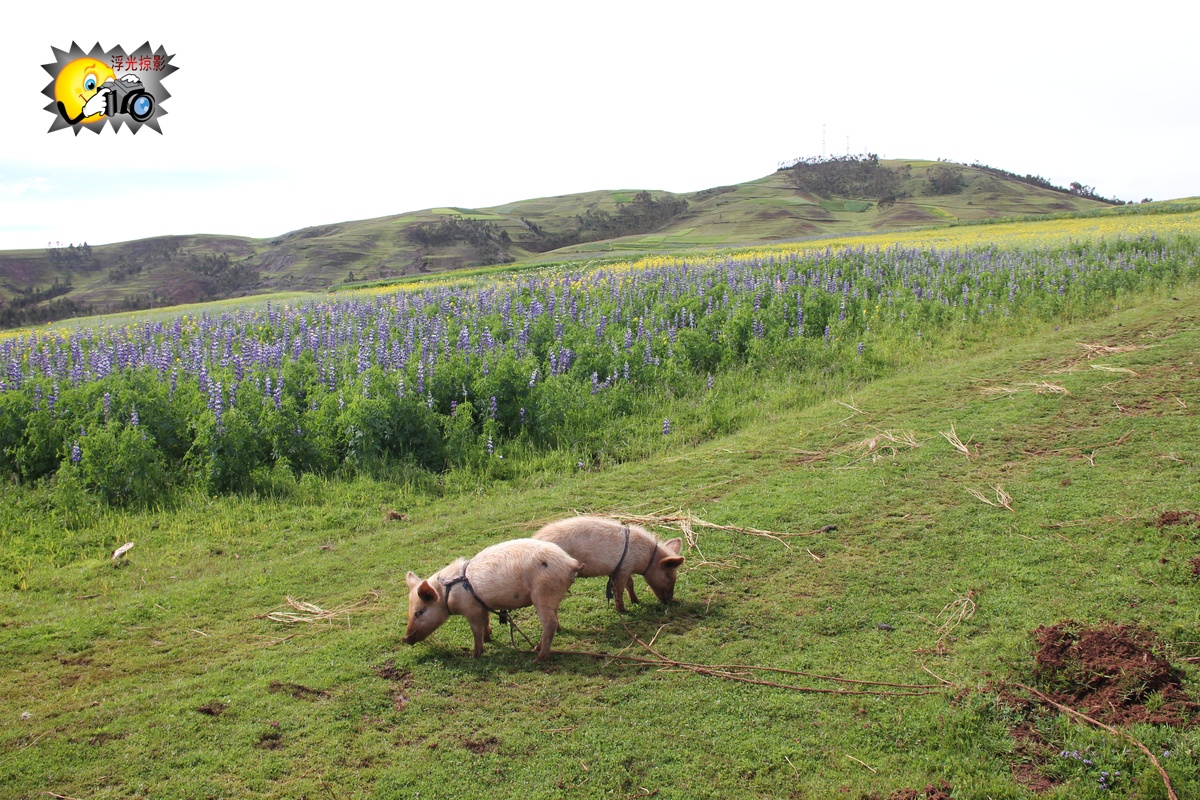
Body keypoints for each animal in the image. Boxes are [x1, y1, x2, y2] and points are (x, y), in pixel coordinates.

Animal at [400, 537, 583, 662]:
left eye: (419, 612)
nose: (405, 639)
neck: (448, 592)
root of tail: (571, 563)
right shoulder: (482, 605)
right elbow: (486, 622)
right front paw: (488, 639)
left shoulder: (471, 609)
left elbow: (475, 629)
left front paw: (475, 655)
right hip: (552, 594)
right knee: (555, 617)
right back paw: (537, 648)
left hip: (542, 593)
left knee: (549, 624)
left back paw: (538, 657)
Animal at [535, 520, 686, 614]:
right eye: (669, 576)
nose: (671, 600)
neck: (646, 557)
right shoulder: (624, 569)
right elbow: (619, 589)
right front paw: (623, 610)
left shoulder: (624, 568)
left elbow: (630, 584)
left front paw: (636, 601)